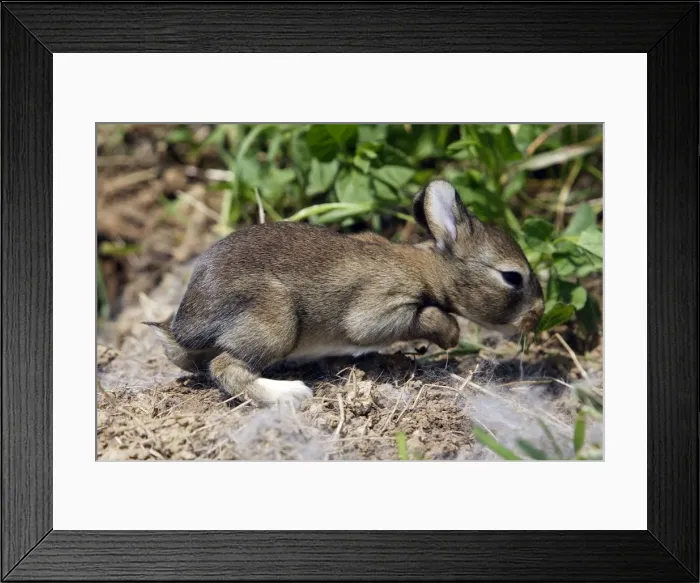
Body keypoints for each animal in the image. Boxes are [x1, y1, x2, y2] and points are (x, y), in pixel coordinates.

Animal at [146, 179, 544, 407]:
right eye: (512, 277)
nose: (537, 315)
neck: (430, 270)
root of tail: (183, 329)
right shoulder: (381, 309)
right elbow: (426, 317)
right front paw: (450, 337)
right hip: (276, 322)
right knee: (225, 367)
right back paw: (291, 394)